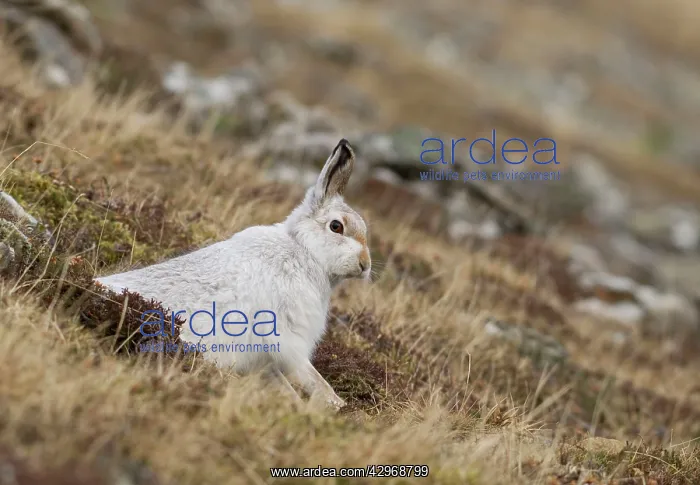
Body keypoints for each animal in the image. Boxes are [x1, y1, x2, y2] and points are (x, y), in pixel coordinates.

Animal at [95, 138, 371, 410]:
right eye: (336, 226)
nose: (365, 264)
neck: (304, 250)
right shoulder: (283, 333)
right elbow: (302, 371)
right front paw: (326, 403)